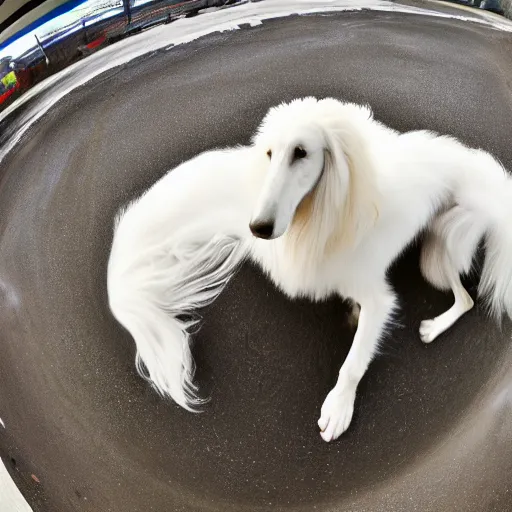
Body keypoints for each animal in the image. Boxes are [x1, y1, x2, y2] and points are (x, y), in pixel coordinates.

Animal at [106, 98, 510, 442]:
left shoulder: (380, 298)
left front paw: (338, 409)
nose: (259, 227)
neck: (322, 218)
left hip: (443, 248)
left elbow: (353, 362)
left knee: (467, 299)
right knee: (465, 297)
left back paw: (433, 327)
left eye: (301, 152)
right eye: (269, 153)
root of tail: (481, 169)